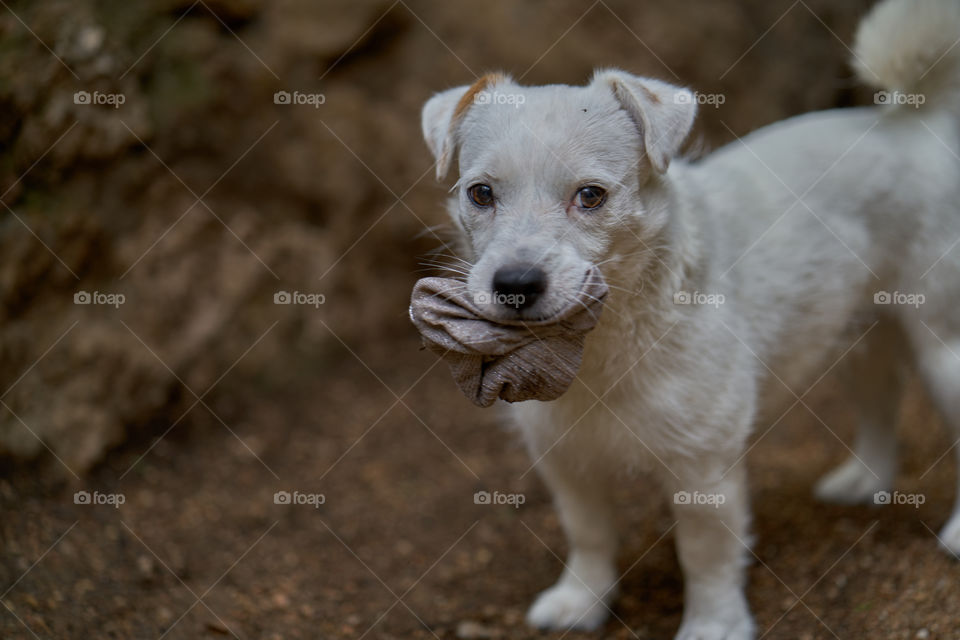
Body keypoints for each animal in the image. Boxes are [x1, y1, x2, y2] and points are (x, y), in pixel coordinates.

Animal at [424, 2, 960, 636]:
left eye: (591, 196)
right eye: (480, 193)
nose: (515, 285)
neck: (602, 348)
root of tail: (914, 124)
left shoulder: (704, 466)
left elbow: (705, 557)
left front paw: (712, 623)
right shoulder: (564, 456)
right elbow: (588, 534)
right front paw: (582, 601)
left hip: (944, 349)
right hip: (860, 334)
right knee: (881, 406)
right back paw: (864, 480)